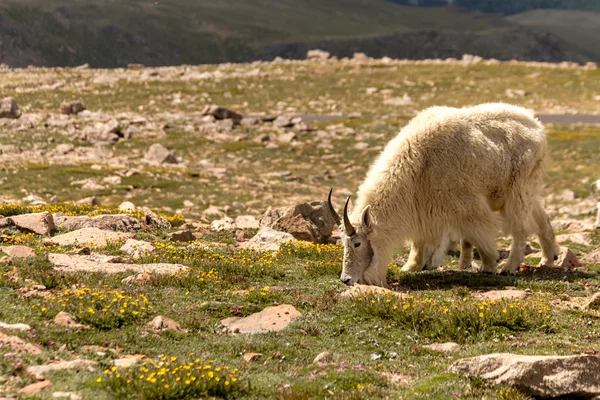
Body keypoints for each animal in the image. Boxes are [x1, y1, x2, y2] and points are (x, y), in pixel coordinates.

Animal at [340, 101, 560, 286]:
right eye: (343, 242)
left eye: (357, 243)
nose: (346, 279)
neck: (416, 165)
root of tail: (538, 127)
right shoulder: (422, 208)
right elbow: (419, 242)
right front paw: (410, 266)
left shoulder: (467, 204)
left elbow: (481, 234)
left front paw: (488, 266)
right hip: (525, 188)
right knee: (542, 219)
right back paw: (549, 258)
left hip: (518, 188)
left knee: (521, 228)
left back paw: (509, 266)